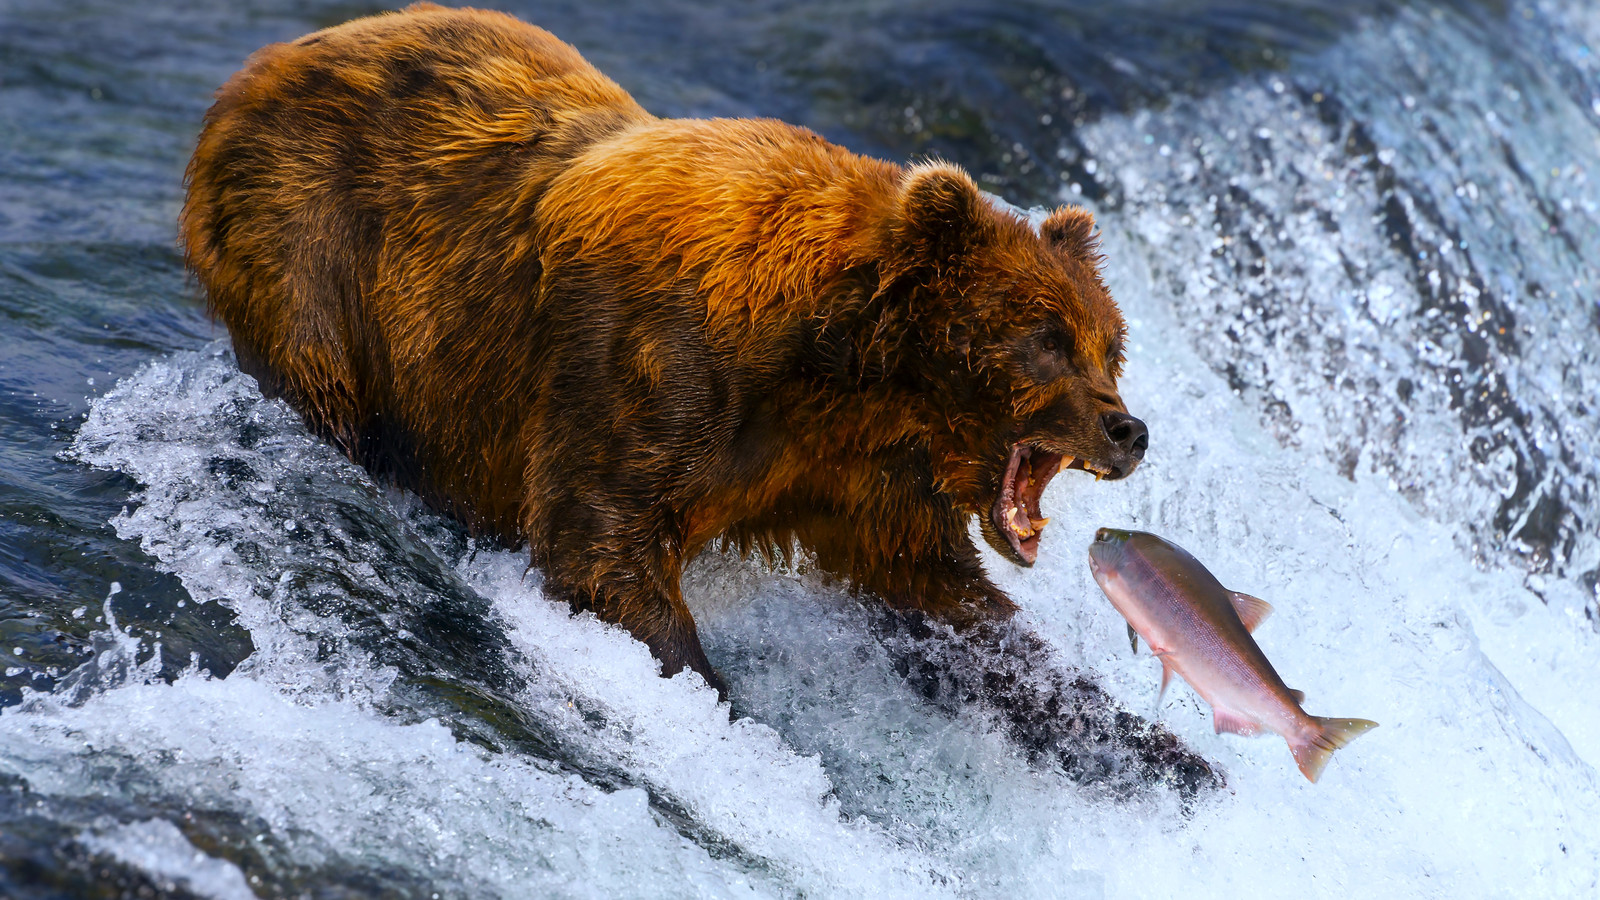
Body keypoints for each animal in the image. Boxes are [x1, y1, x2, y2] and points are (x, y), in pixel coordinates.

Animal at [180, 3, 1148, 698]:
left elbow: (945, 596)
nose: (1129, 431)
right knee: (324, 383)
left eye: (1110, 347)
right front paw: (710, 690)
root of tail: (267, 61)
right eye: (1046, 340)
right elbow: (602, 543)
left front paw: (1149, 750)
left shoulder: (854, 471)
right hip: (311, 242)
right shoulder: (654, 364)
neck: (840, 364)